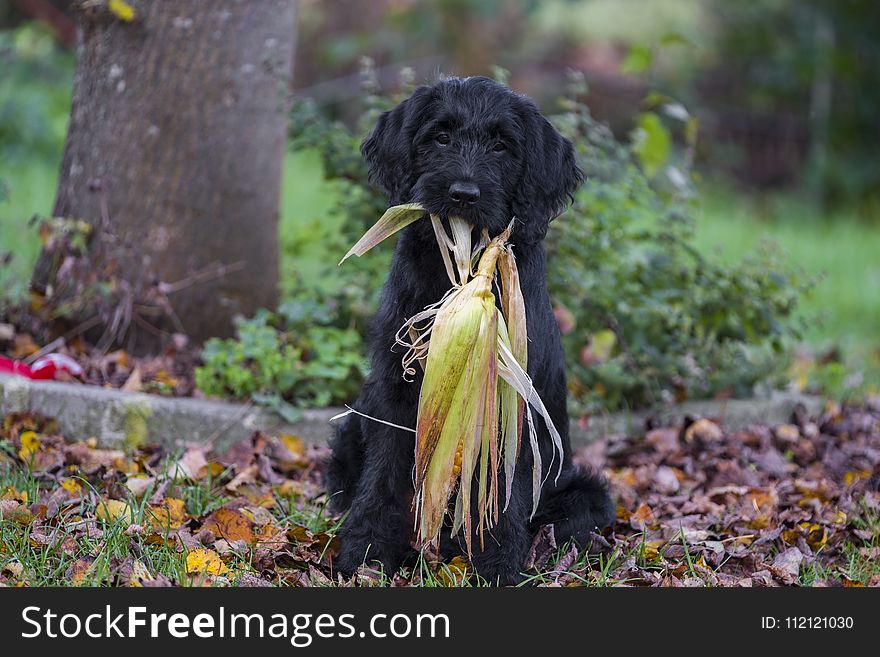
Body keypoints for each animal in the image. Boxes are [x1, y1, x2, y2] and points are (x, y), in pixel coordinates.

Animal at [326, 77, 616, 584]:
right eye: (441, 136)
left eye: (501, 145)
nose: (463, 193)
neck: (461, 271)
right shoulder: (396, 393)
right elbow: (383, 474)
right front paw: (366, 551)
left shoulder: (513, 403)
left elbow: (503, 489)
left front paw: (496, 563)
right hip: (350, 430)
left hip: (584, 491)